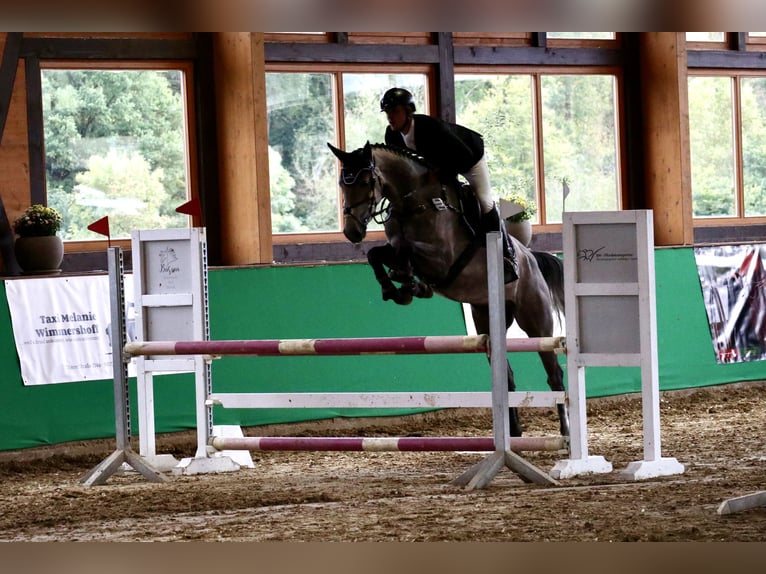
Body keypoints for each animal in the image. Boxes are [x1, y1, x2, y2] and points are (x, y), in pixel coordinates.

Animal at [330, 142, 568, 438]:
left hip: (536, 322)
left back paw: (566, 432)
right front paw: (397, 288)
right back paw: (512, 432)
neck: (413, 202)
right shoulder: (396, 248)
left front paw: (411, 285)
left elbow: (407, 252)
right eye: (342, 183)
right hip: (486, 319)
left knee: (554, 374)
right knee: (507, 375)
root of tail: (531, 257)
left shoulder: (441, 259)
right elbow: (378, 254)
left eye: (364, 181)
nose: (351, 232)